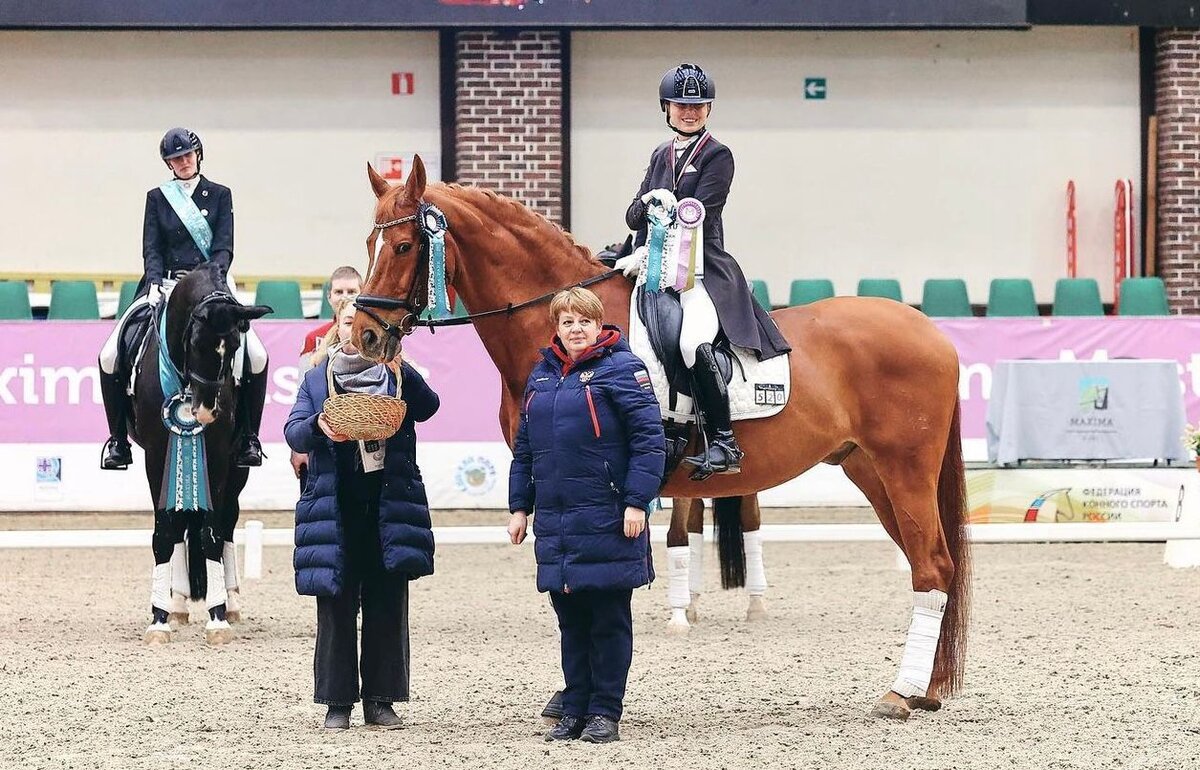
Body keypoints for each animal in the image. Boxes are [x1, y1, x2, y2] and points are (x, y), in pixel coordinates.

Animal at [129, 263, 274, 642]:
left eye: (235, 344)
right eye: (195, 343)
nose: (206, 412)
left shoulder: (220, 457)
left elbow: (211, 534)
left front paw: (218, 617)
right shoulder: (156, 456)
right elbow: (165, 532)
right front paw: (159, 620)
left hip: (238, 470)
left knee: (227, 524)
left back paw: (231, 601)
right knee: (181, 523)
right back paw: (178, 604)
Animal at [350, 157, 969, 719]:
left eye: (403, 246)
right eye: (369, 242)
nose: (365, 336)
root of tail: (930, 330)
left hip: (905, 469)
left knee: (933, 568)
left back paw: (902, 693)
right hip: (869, 470)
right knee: (932, 566)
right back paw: (927, 689)